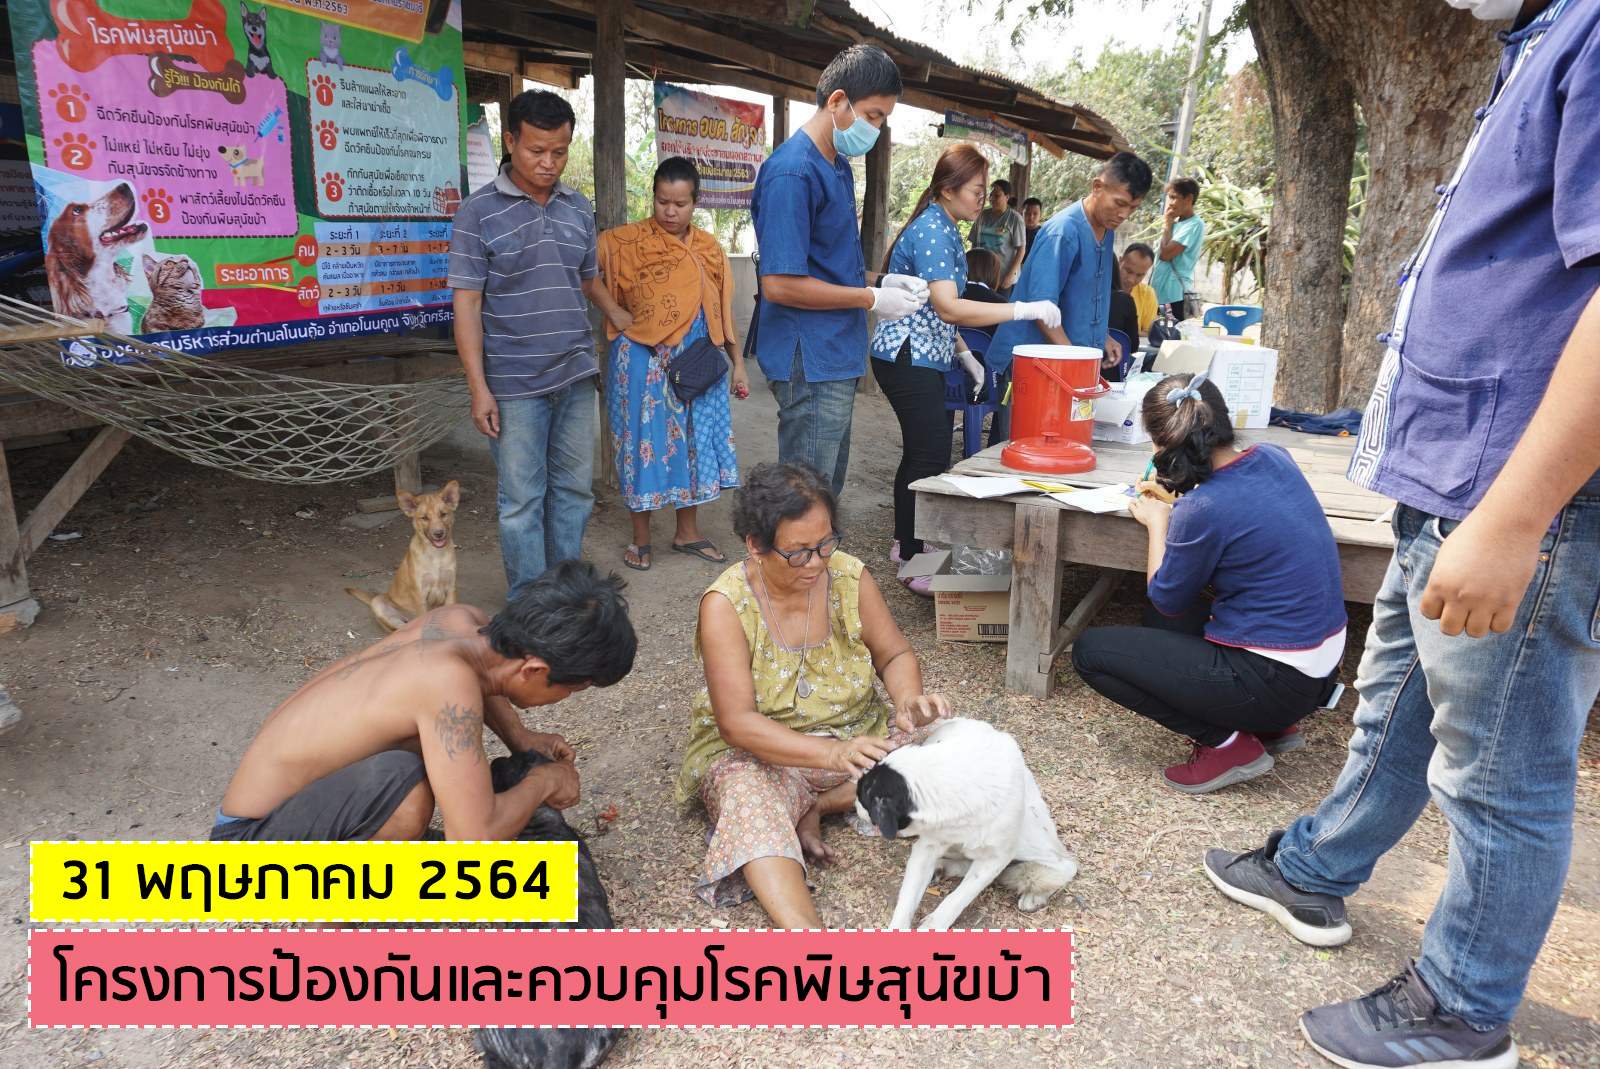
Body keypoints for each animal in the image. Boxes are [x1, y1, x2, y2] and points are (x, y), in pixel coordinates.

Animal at [346, 481, 459, 632]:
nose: (439, 533)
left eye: (443, 514)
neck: (435, 554)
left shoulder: (451, 589)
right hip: (379, 603)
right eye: (424, 518)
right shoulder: (420, 594)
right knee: (397, 629)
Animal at [856, 718, 1078, 931]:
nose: (854, 805)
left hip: (1027, 837)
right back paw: (942, 867)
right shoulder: (926, 847)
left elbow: (959, 897)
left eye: (862, 795)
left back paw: (1036, 895)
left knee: (1065, 865)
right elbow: (908, 898)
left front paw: (934, 924)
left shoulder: (995, 859)